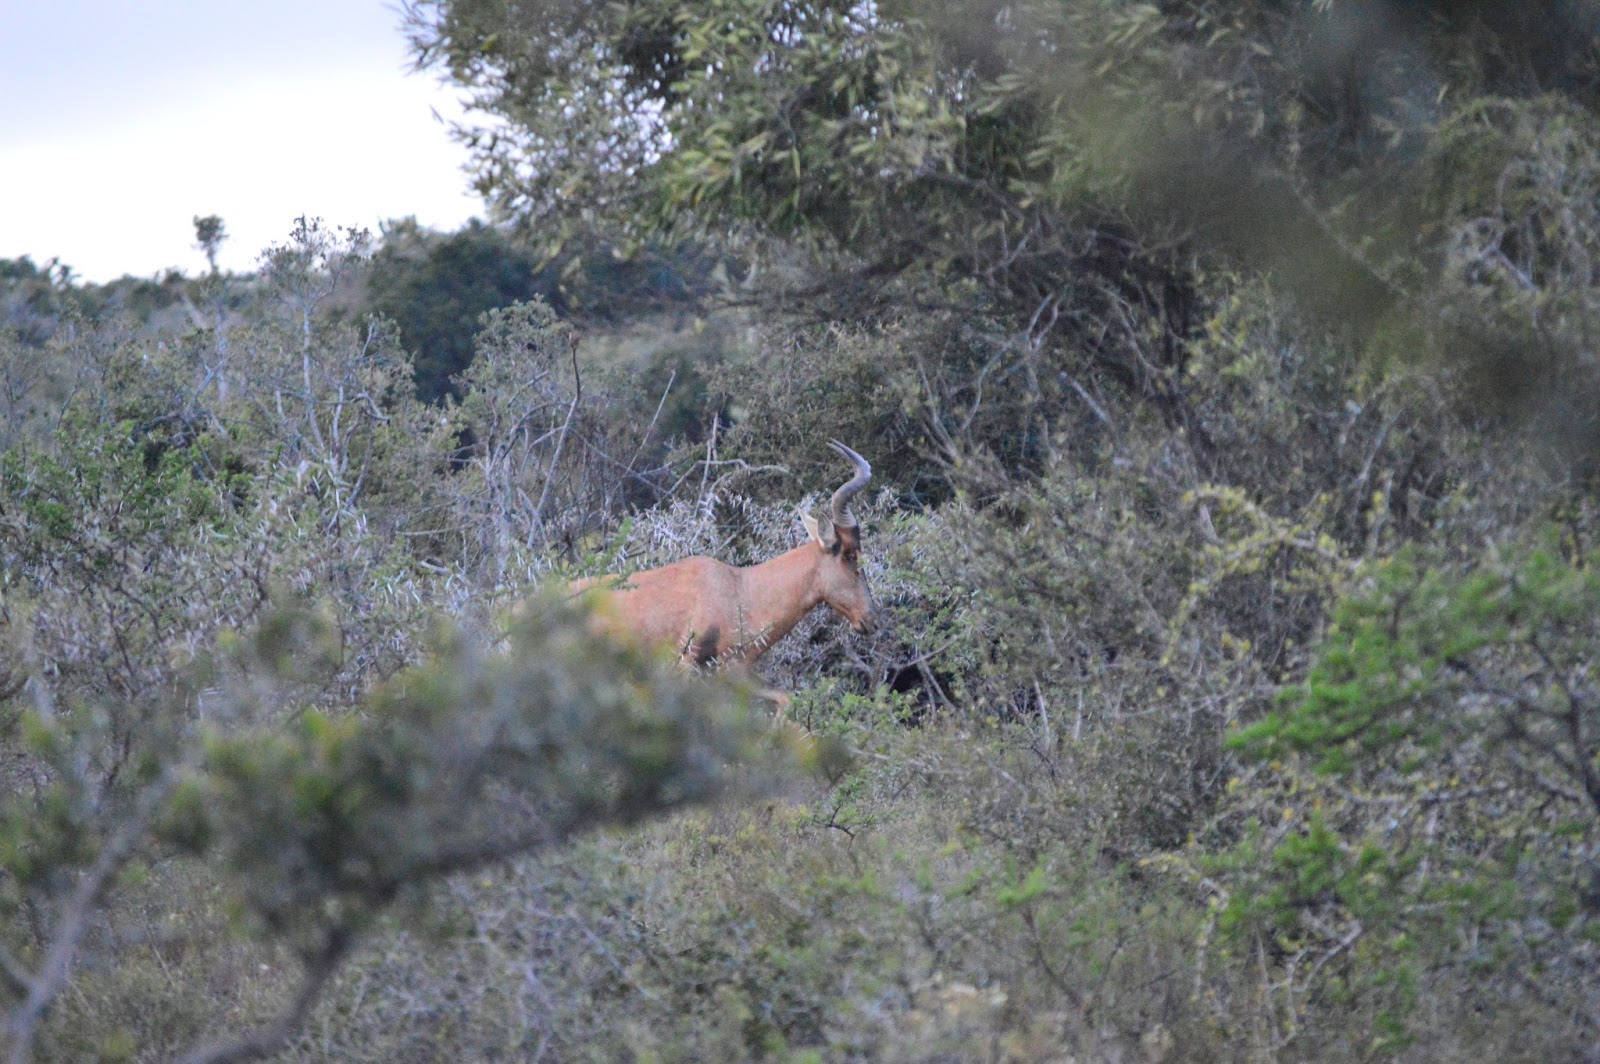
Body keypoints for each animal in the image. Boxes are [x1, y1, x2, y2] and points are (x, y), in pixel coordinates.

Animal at [570, 441, 879, 716]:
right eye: (850, 555)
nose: (871, 619)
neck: (737, 587)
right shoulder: (686, 666)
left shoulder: (734, 673)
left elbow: (785, 699)